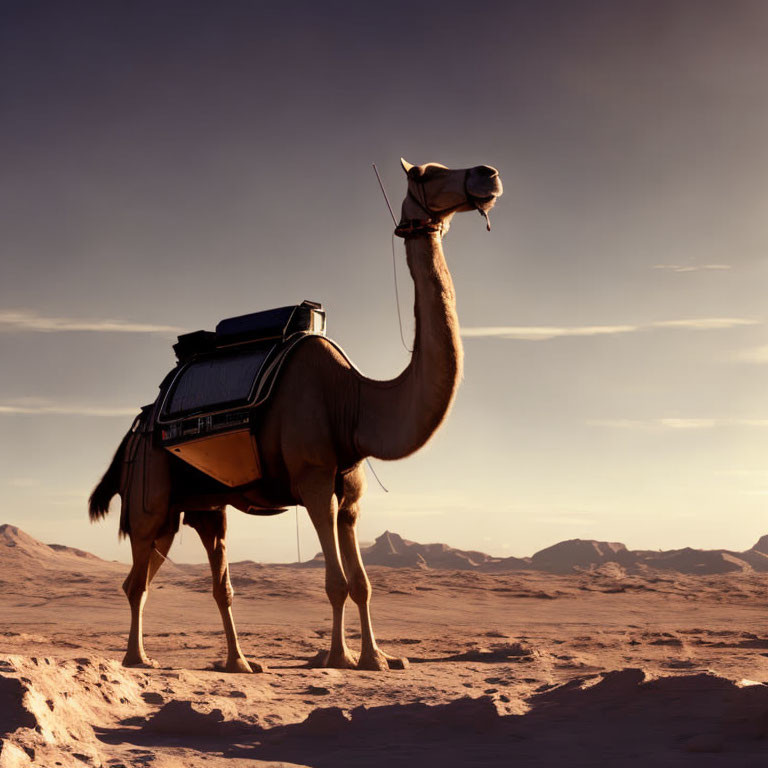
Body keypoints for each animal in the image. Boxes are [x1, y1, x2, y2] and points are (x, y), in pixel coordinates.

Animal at [88, 160, 504, 672]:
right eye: (428, 173)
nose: (487, 174)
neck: (354, 403)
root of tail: (139, 425)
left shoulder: (350, 495)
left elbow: (363, 584)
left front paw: (378, 657)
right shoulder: (313, 480)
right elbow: (336, 582)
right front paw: (339, 658)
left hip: (204, 505)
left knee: (213, 580)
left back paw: (239, 662)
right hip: (151, 495)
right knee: (136, 580)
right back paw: (138, 659)